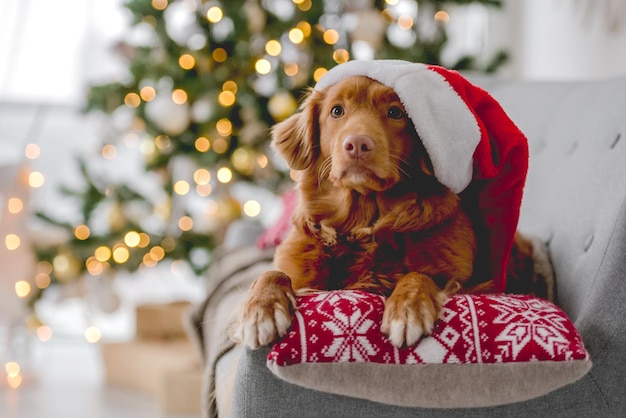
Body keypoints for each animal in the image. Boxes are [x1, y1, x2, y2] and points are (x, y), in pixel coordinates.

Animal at [232, 75, 548, 350]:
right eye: (337, 111)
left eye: (396, 113)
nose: (358, 144)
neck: (364, 220)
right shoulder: (298, 272)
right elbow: (269, 274)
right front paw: (260, 311)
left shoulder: (466, 281)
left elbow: (418, 275)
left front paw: (407, 309)